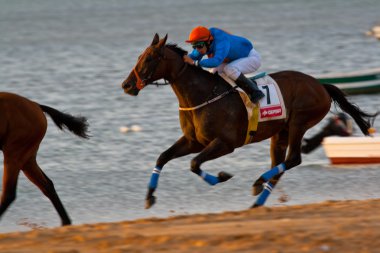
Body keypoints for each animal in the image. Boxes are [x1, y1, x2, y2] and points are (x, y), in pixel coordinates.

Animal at [0, 92, 89, 225]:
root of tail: (35, 105)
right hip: (27, 159)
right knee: (47, 186)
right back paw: (65, 222)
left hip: (14, 153)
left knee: (9, 193)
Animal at [121, 33, 378, 209]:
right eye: (139, 56)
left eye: (150, 58)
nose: (126, 85)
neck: (203, 95)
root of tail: (320, 85)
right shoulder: (194, 141)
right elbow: (163, 157)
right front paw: (149, 196)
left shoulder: (225, 143)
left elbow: (194, 164)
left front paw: (220, 177)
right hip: (280, 133)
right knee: (280, 166)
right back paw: (258, 199)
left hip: (299, 123)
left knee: (293, 159)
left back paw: (258, 181)